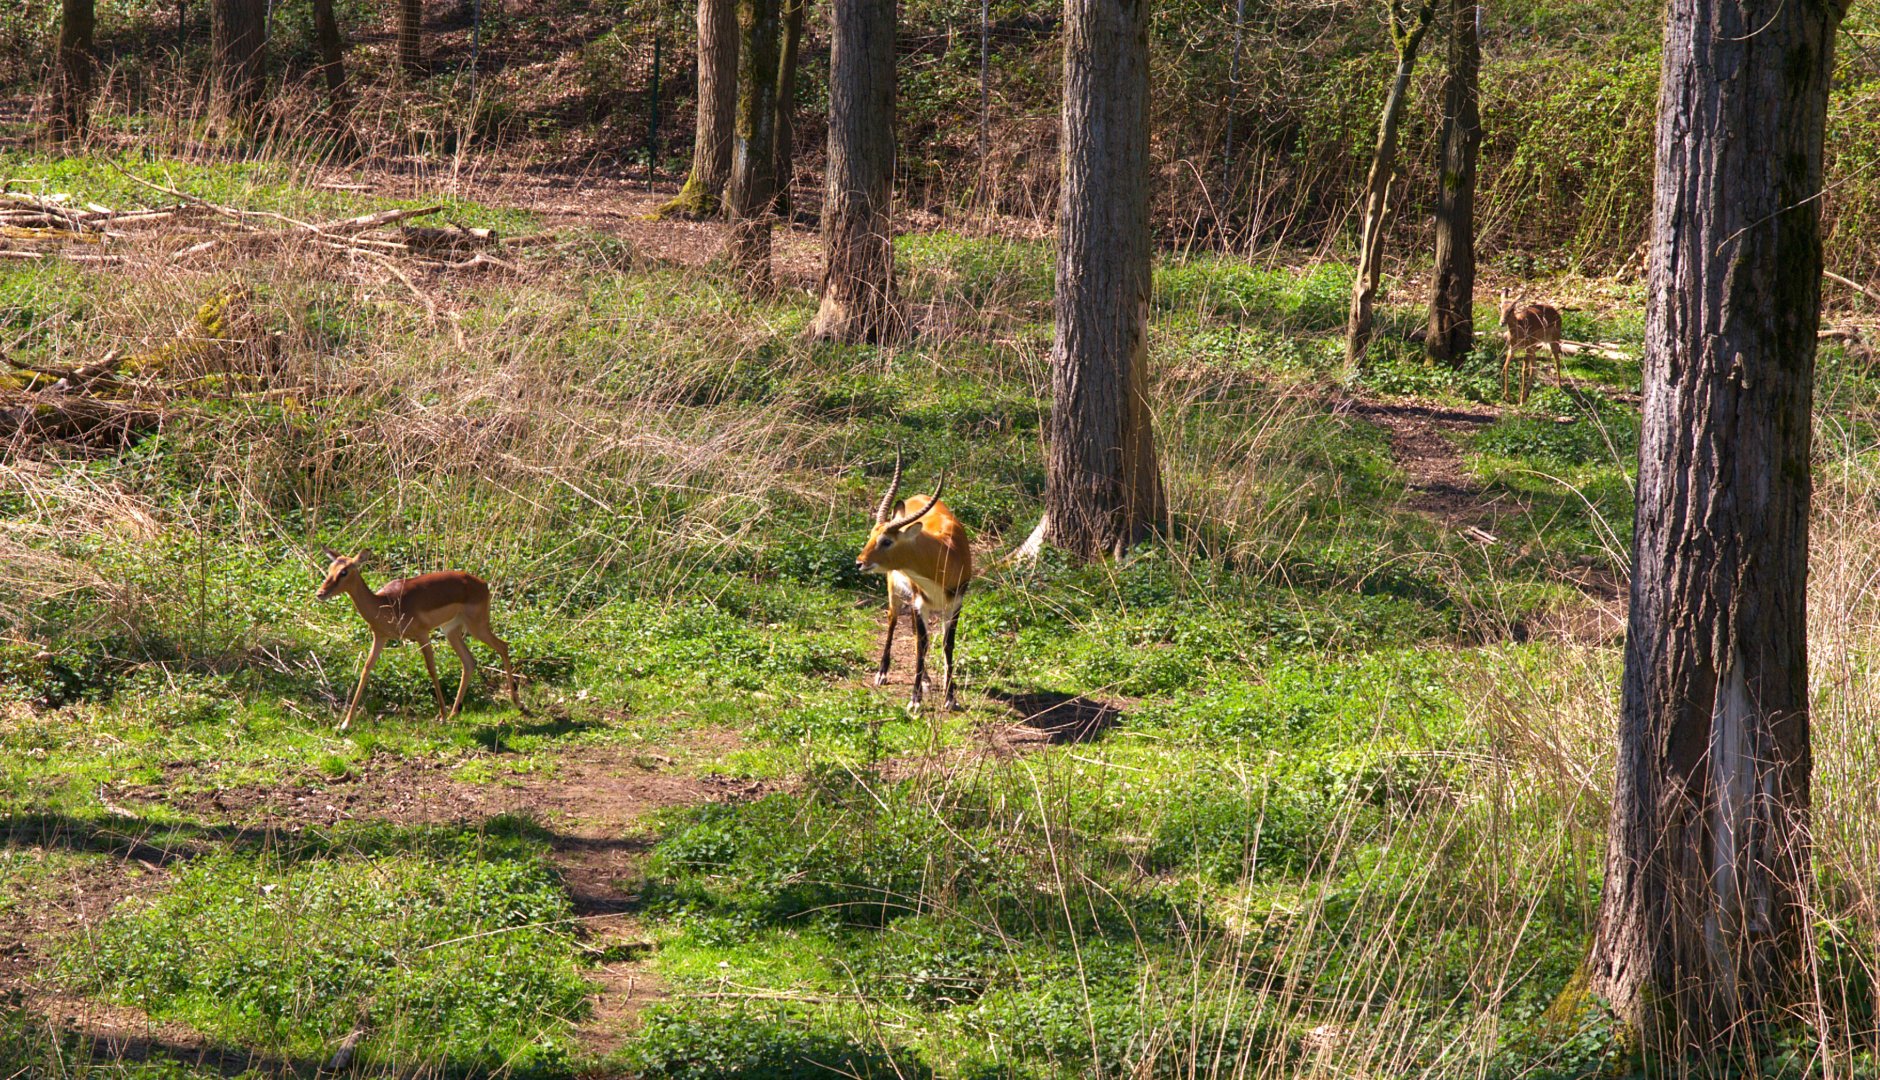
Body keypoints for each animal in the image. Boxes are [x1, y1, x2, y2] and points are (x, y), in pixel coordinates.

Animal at [314, 547, 524, 731]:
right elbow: (366, 669)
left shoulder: (422, 634)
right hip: (451, 631)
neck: (386, 604)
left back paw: (517, 704)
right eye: (329, 569)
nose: (320, 593)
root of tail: (483, 584)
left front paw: (442, 716)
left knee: (503, 646)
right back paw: (455, 712)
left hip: (477, 627)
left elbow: (431, 670)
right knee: (469, 661)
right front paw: (345, 724)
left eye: (344, 571)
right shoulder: (380, 637)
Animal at [855, 458, 974, 711]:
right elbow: (922, 644)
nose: (859, 562)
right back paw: (882, 674)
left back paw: (928, 680)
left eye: (886, 540)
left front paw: (950, 698)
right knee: (894, 620)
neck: (946, 553)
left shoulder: (955, 604)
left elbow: (947, 644)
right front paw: (915, 701)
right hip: (895, 590)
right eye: (872, 534)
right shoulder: (921, 603)